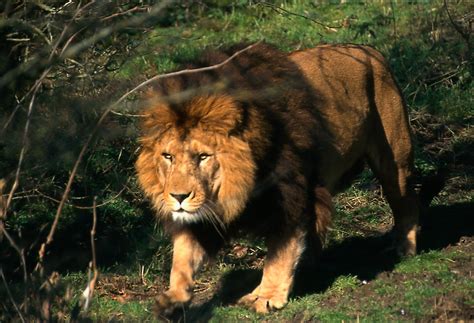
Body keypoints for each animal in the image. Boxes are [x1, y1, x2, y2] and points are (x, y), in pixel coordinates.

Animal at [135, 41, 420, 316]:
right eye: (168, 156)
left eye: (203, 156)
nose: (178, 197)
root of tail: (369, 50)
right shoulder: (203, 214)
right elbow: (183, 256)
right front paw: (172, 299)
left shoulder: (292, 198)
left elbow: (280, 255)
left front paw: (267, 297)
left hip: (394, 157)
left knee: (405, 201)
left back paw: (404, 247)